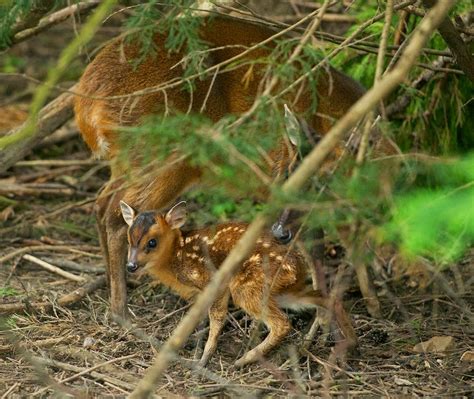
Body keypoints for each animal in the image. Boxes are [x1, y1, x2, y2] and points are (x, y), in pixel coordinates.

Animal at [75, 14, 374, 318]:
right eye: (290, 175)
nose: (280, 231)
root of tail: (87, 101)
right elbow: (318, 243)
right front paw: (331, 313)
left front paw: (372, 303)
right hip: (162, 158)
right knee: (118, 215)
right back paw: (120, 308)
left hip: (129, 161)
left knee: (102, 203)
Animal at [120, 202, 358, 368]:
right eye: (129, 240)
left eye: (152, 242)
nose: (131, 266)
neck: (178, 256)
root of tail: (297, 267)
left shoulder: (213, 281)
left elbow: (217, 318)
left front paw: (203, 359)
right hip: (285, 290)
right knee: (325, 298)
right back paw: (350, 343)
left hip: (248, 286)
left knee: (282, 323)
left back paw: (244, 359)